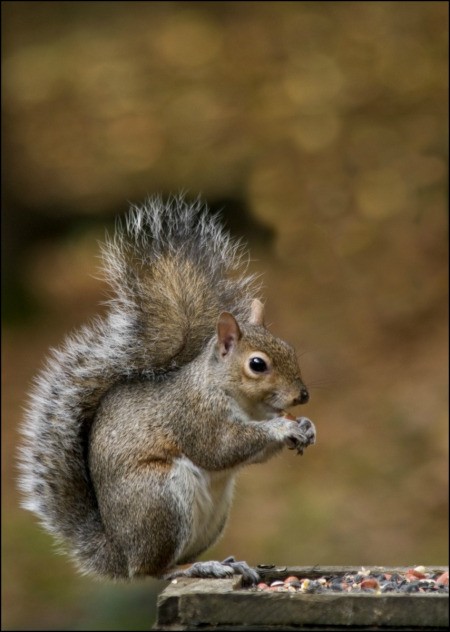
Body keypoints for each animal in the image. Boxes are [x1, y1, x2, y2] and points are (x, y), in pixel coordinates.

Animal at [18, 195, 316, 584]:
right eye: (257, 364)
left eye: (290, 349)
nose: (302, 396)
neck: (241, 401)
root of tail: (120, 552)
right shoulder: (194, 415)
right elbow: (220, 448)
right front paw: (281, 427)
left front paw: (306, 426)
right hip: (160, 500)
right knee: (155, 569)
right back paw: (201, 566)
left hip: (210, 517)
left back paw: (225, 563)